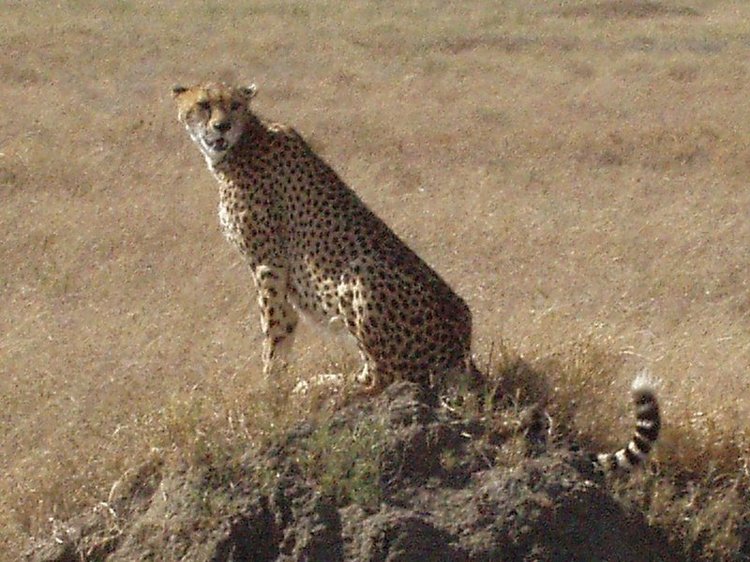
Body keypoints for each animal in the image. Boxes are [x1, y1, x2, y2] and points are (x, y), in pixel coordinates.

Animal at [173, 81, 484, 392]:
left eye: (235, 105)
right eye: (204, 105)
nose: (222, 126)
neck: (243, 142)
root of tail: (463, 352)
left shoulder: (268, 263)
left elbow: (273, 325)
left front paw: (269, 386)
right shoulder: (276, 270)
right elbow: (285, 323)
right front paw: (277, 381)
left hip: (362, 268)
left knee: (380, 377)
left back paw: (321, 383)